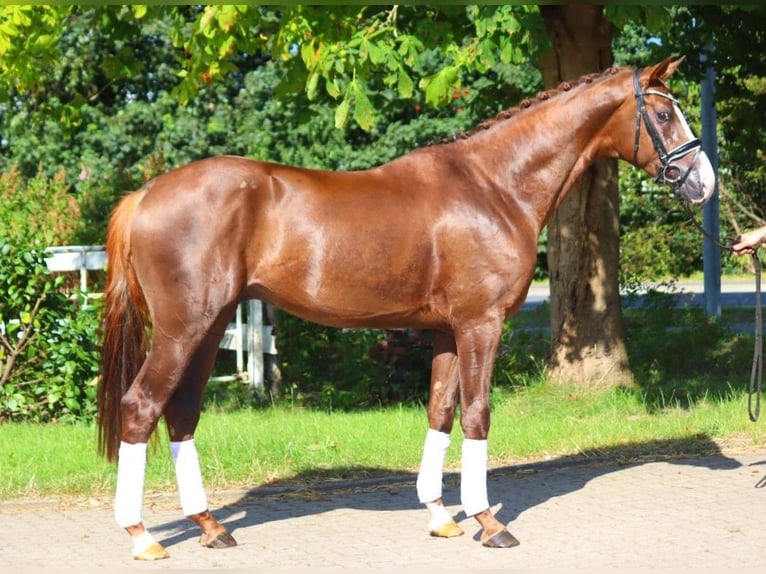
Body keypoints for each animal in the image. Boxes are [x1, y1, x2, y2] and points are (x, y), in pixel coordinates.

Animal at [97, 56, 720, 560]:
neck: (494, 187)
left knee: (180, 412)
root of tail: (144, 195)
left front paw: (442, 517)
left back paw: (209, 527)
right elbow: (477, 414)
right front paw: (489, 522)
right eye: (662, 114)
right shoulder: (480, 325)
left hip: (210, 328)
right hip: (183, 331)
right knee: (140, 407)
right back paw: (143, 536)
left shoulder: (447, 331)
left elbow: (440, 411)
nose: (704, 184)